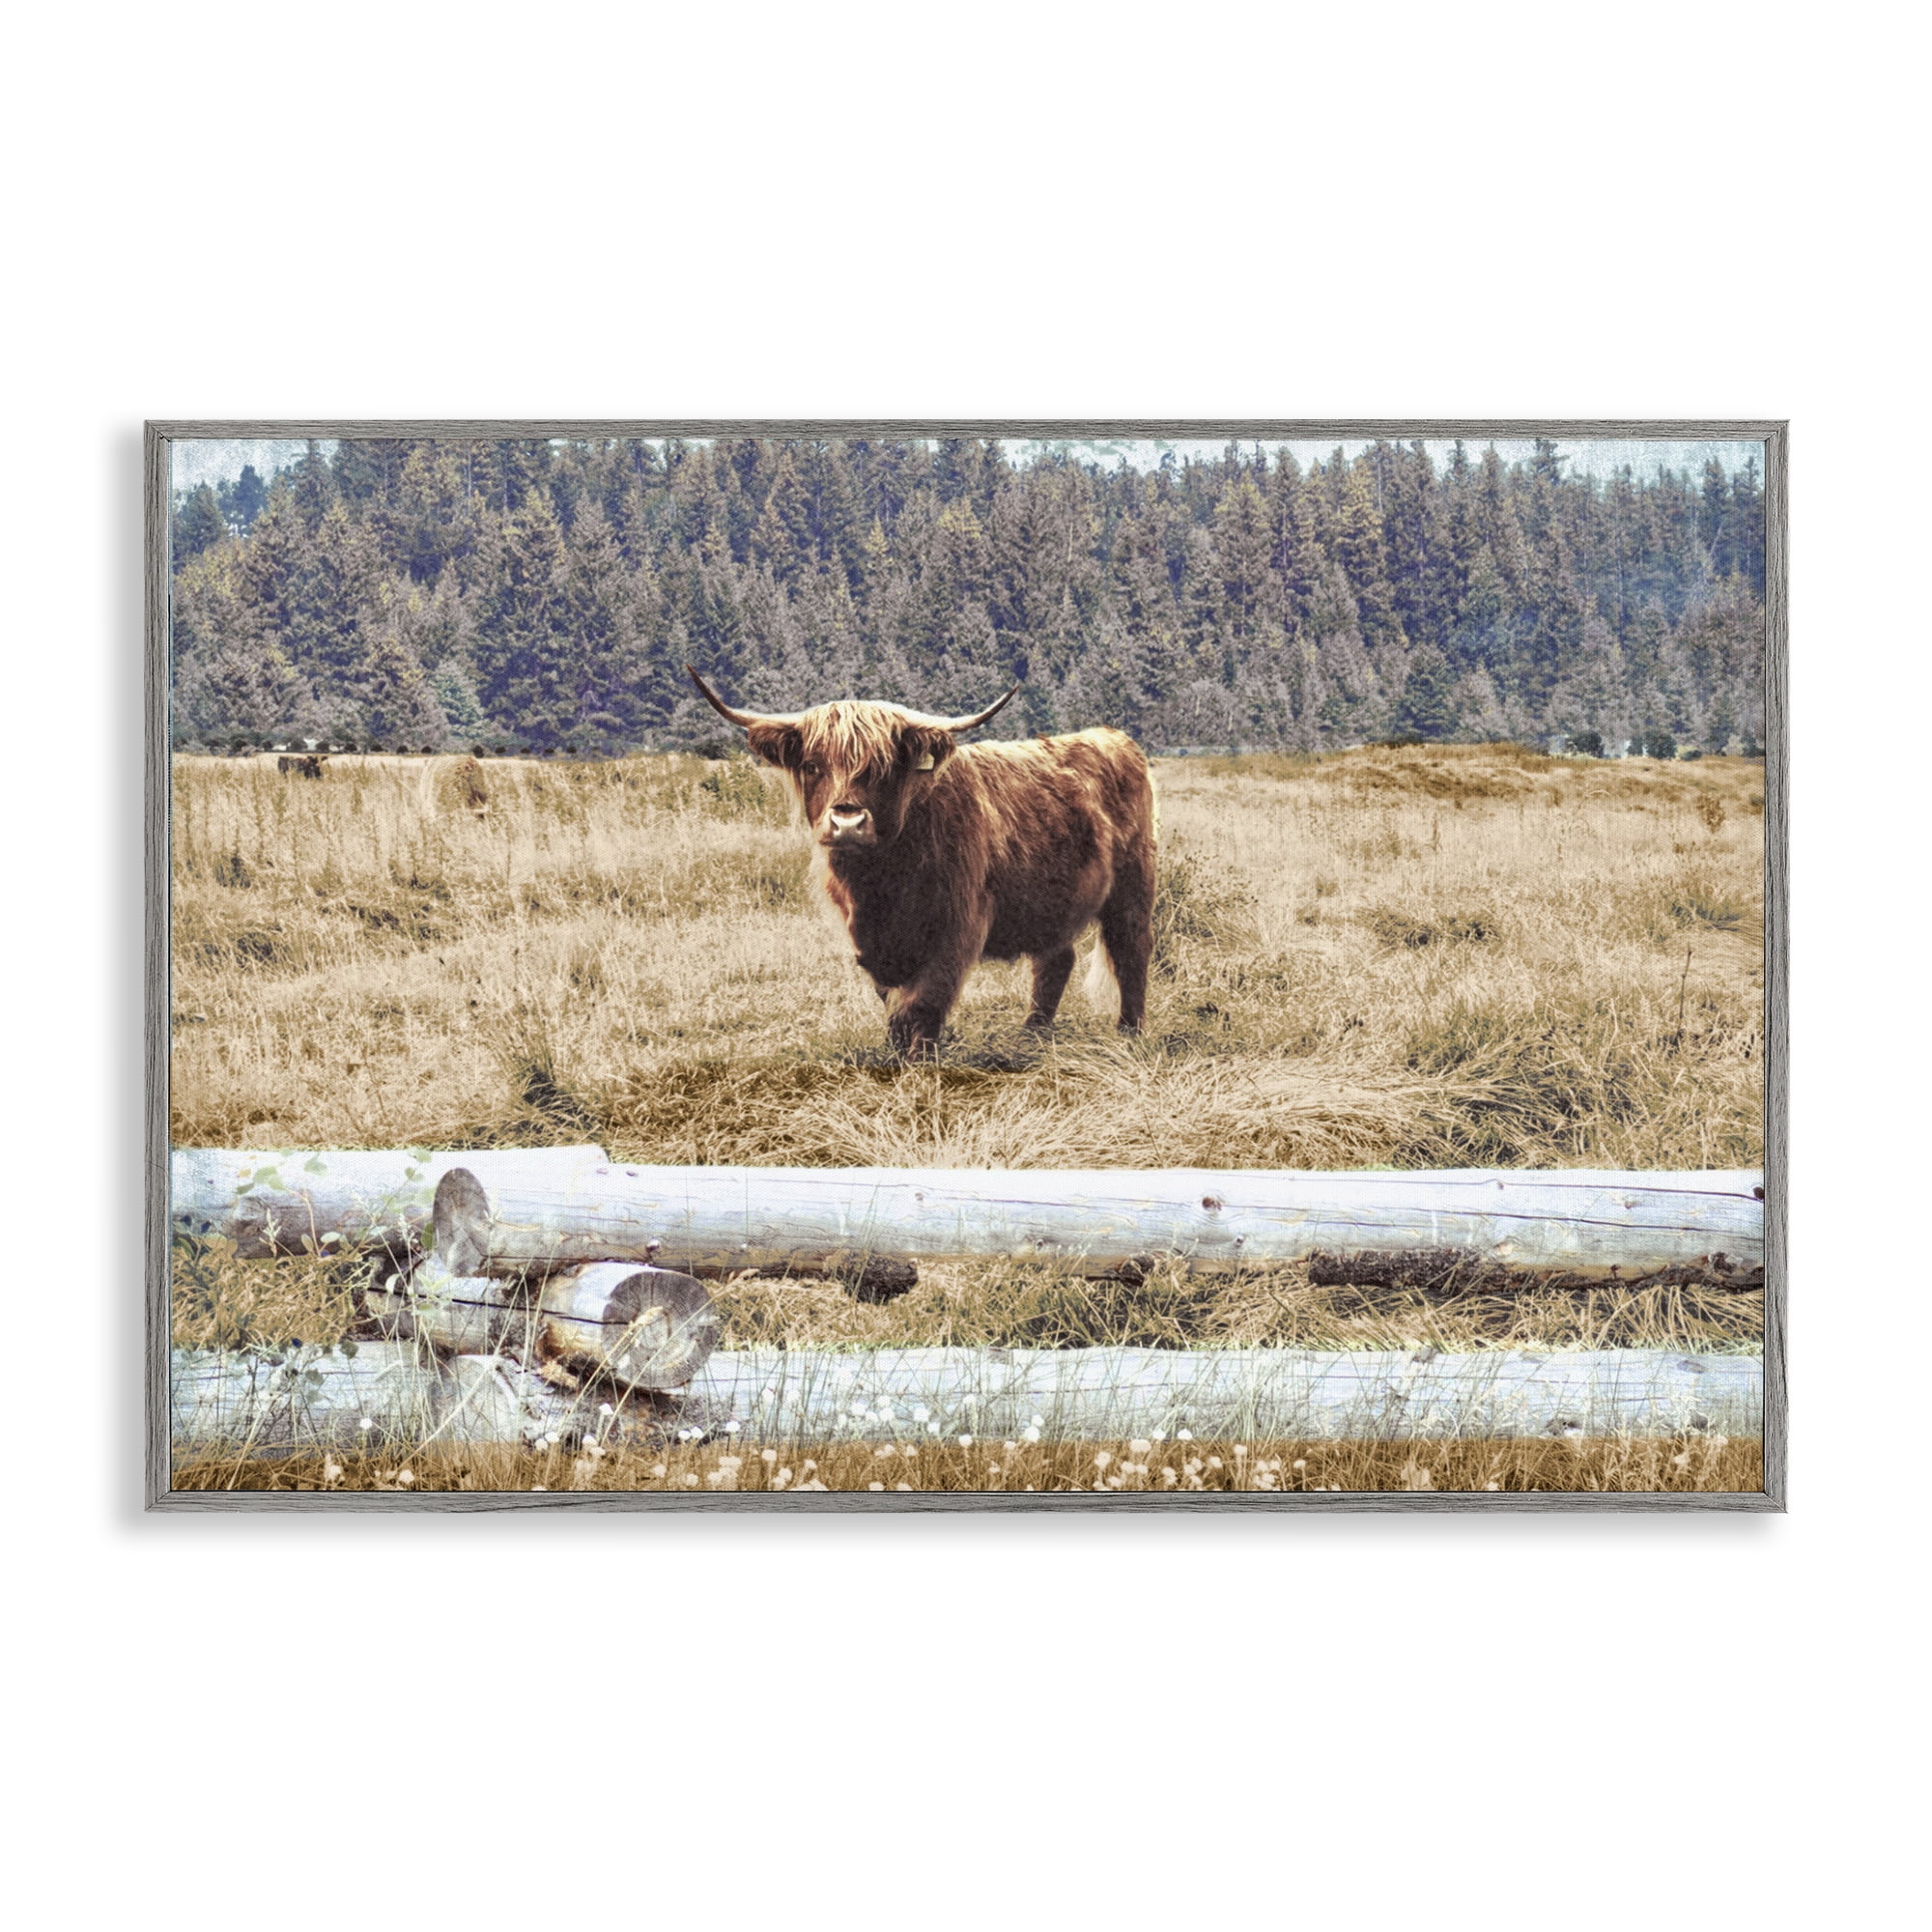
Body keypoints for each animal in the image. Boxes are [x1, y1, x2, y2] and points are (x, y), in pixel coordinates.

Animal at [687, 666, 1156, 1059]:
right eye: (812, 765)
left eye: (882, 768)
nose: (847, 822)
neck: (880, 885)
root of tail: (1113, 737)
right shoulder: (869, 941)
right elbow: (893, 1003)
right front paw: (897, 1055)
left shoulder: (958, 926)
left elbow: (924, 1001)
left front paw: (921, 1062)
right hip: (1052, 900)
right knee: (1055, 961)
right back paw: (1032, 1035)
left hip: (1133, 885)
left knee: (1130, 951)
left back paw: (1129, 1034)